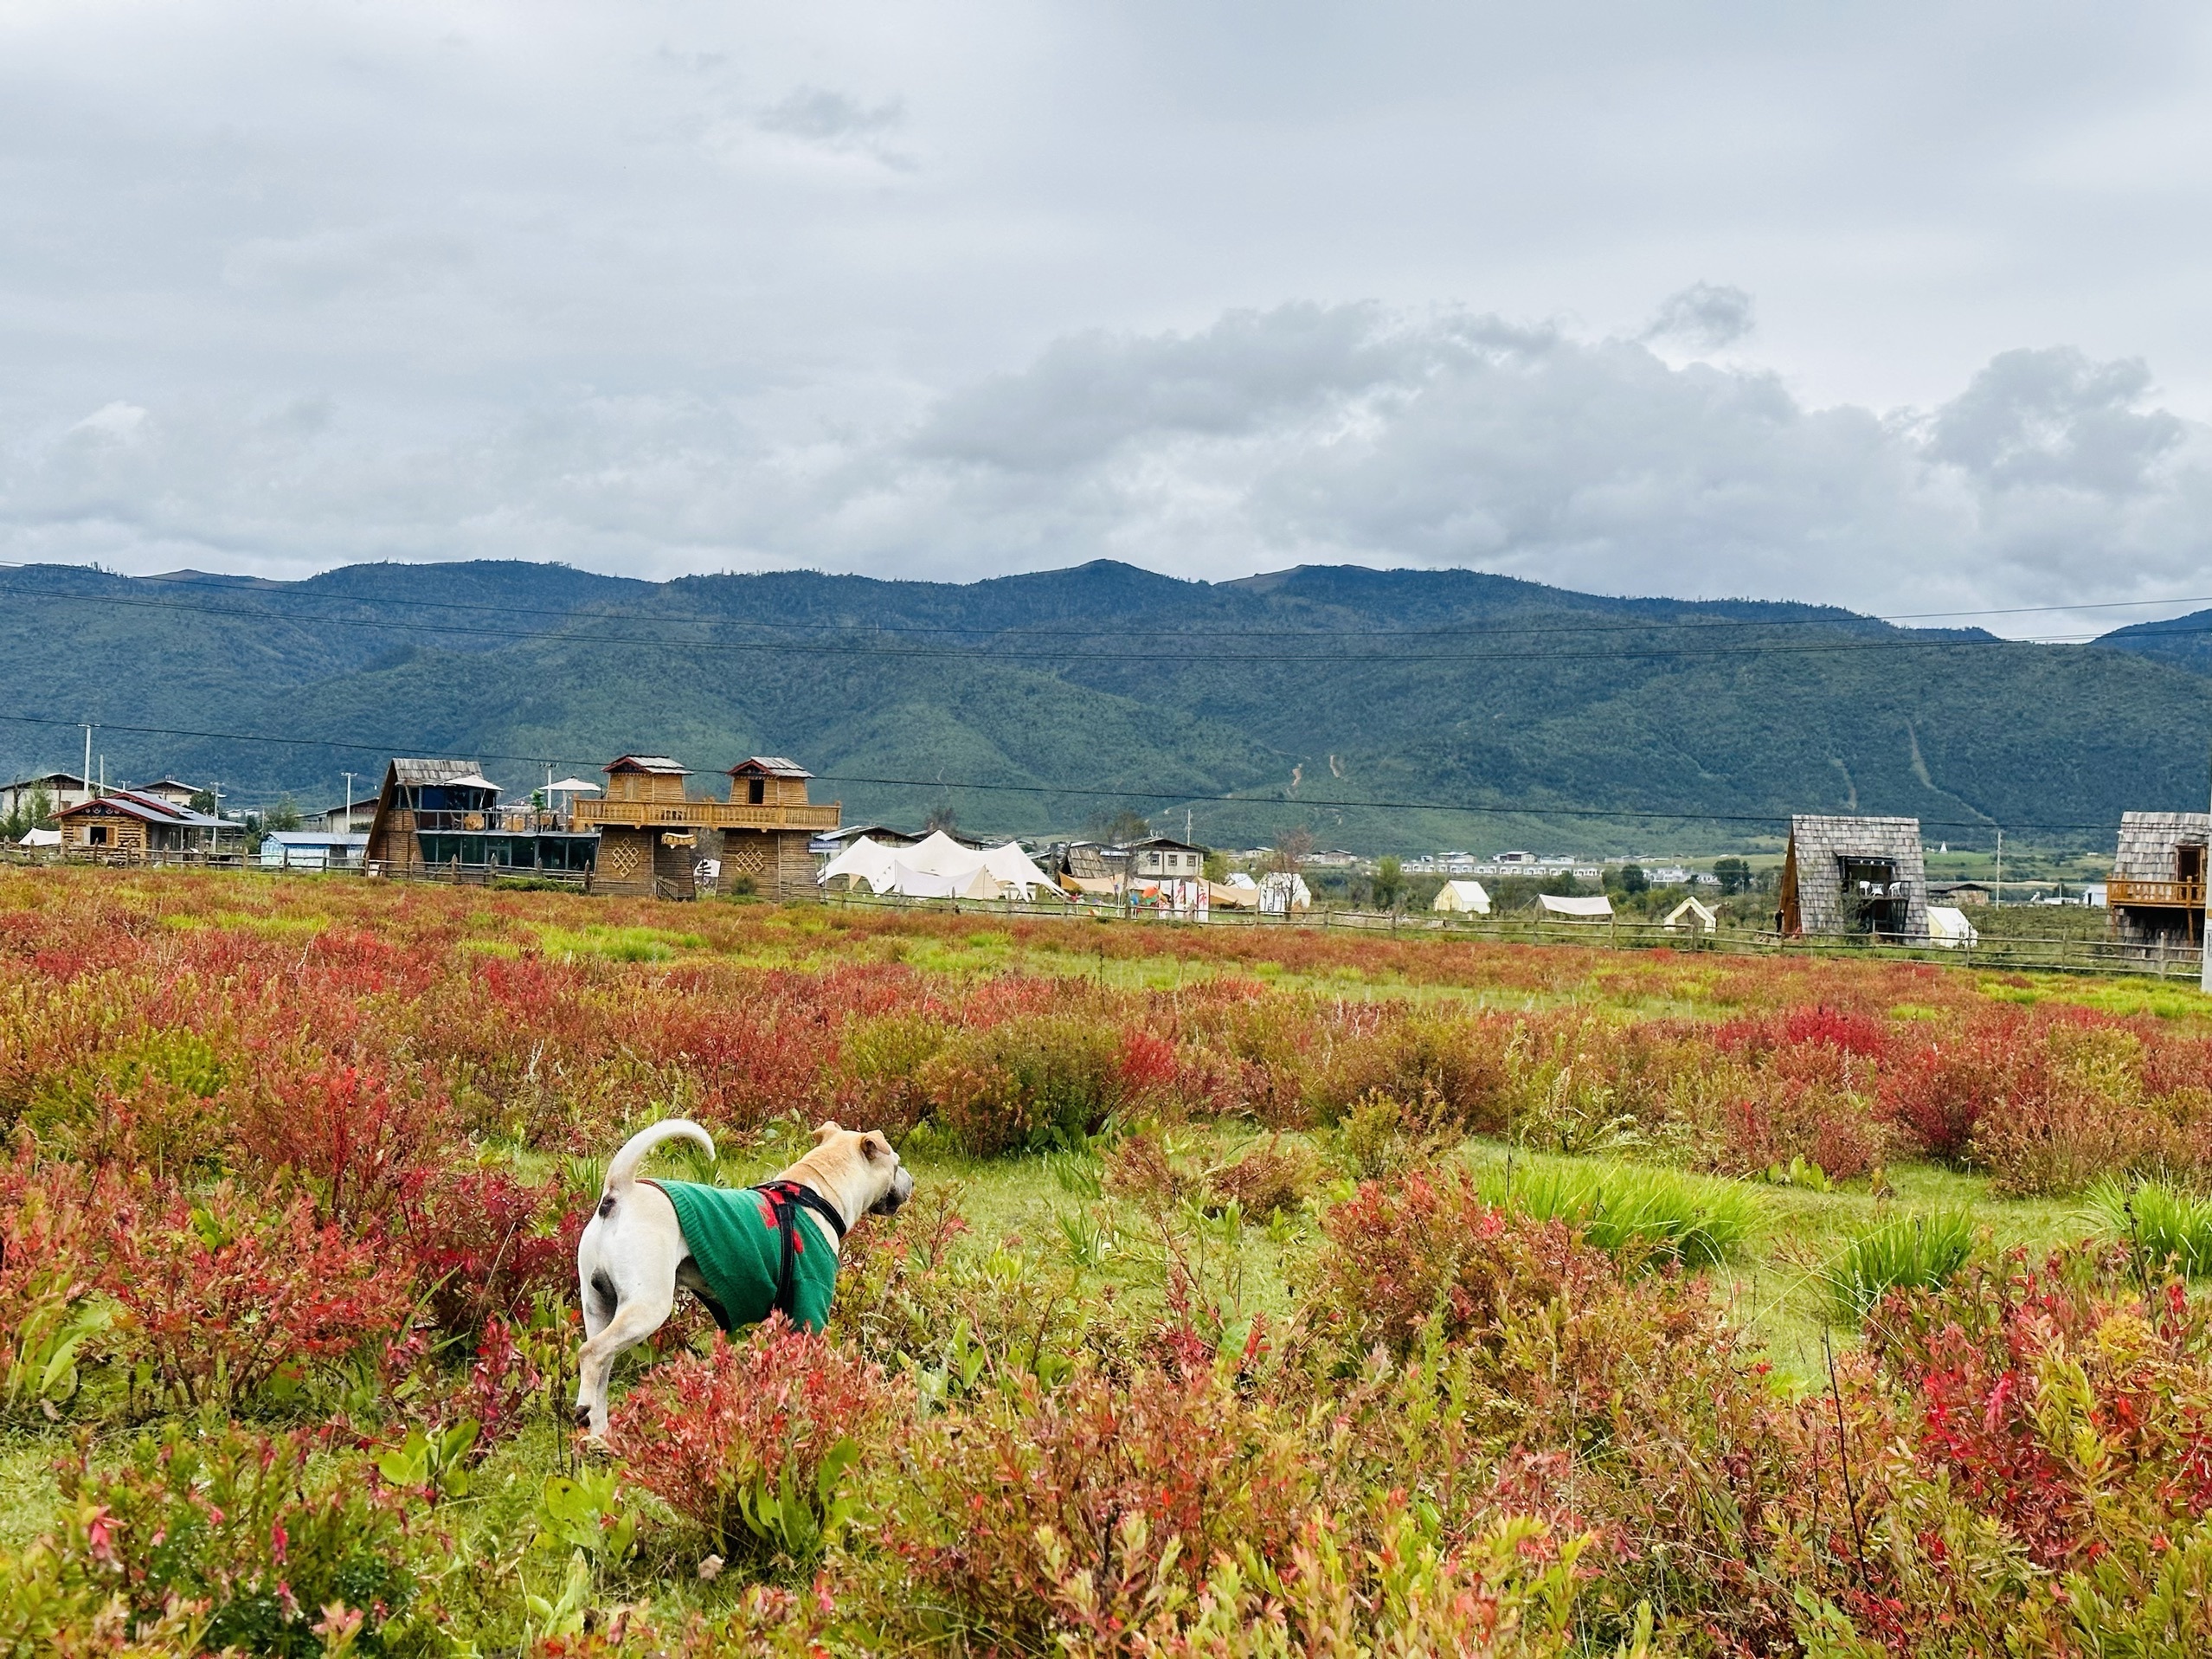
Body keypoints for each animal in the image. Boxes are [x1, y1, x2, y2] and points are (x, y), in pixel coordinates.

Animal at [579, 1123, 916, 1433]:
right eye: (897, 1164)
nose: (911, 1182)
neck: (817, 1191)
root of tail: (619, 1194)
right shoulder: (810, 1307)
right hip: (647, 1307)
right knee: (591, 1353)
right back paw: (586, 1412)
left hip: (599, 1307)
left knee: (602, 1368)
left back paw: (599, 1434)